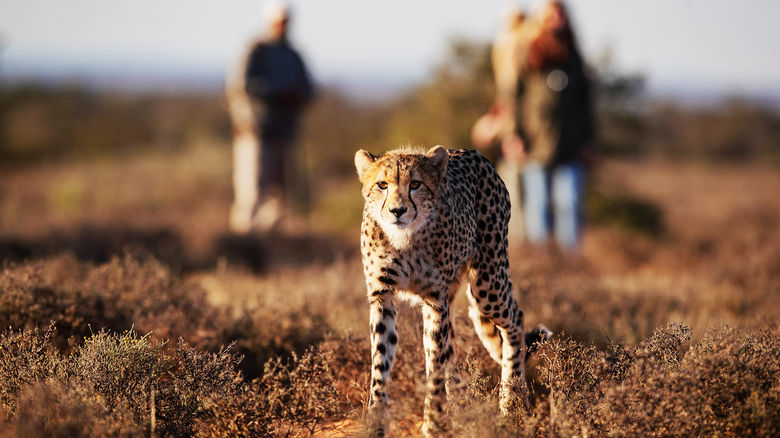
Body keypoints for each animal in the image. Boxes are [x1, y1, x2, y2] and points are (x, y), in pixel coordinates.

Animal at [354, 145, 548, 434]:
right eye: (382, 184)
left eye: (415, 184)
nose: (397, 211)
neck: (405, 238)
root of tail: (472, 153)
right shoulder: (382, 298)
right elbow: (381, 364)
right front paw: (377, 423)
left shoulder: (435, 299)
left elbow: (435, 364)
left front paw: (434, 424)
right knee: (452, 349)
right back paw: (462, 403)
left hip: (487, 283)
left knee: (515, 319)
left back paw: (510, 400)